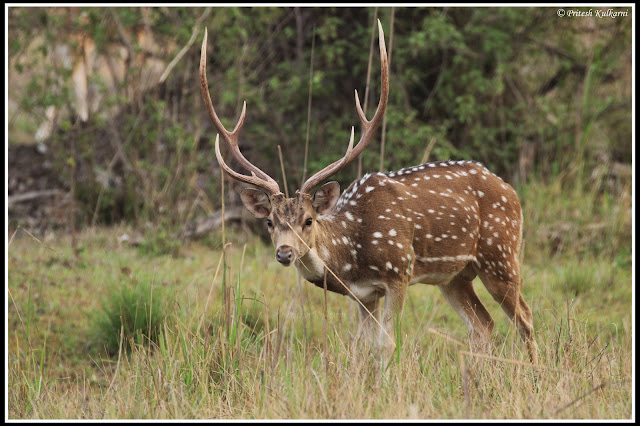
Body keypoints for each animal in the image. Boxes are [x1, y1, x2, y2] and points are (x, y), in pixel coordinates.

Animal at [200, 21, 540, 364]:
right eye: (270, 221)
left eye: (308, 220)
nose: (284, 253)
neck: (352, 256)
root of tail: (510, 190)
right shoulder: (363, 295)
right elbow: (362, 345)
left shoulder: (400, 271)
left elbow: (387, 343)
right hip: (454, 276)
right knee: (483, 324)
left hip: (501, 253)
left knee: (524, 317)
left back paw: (533, 368)